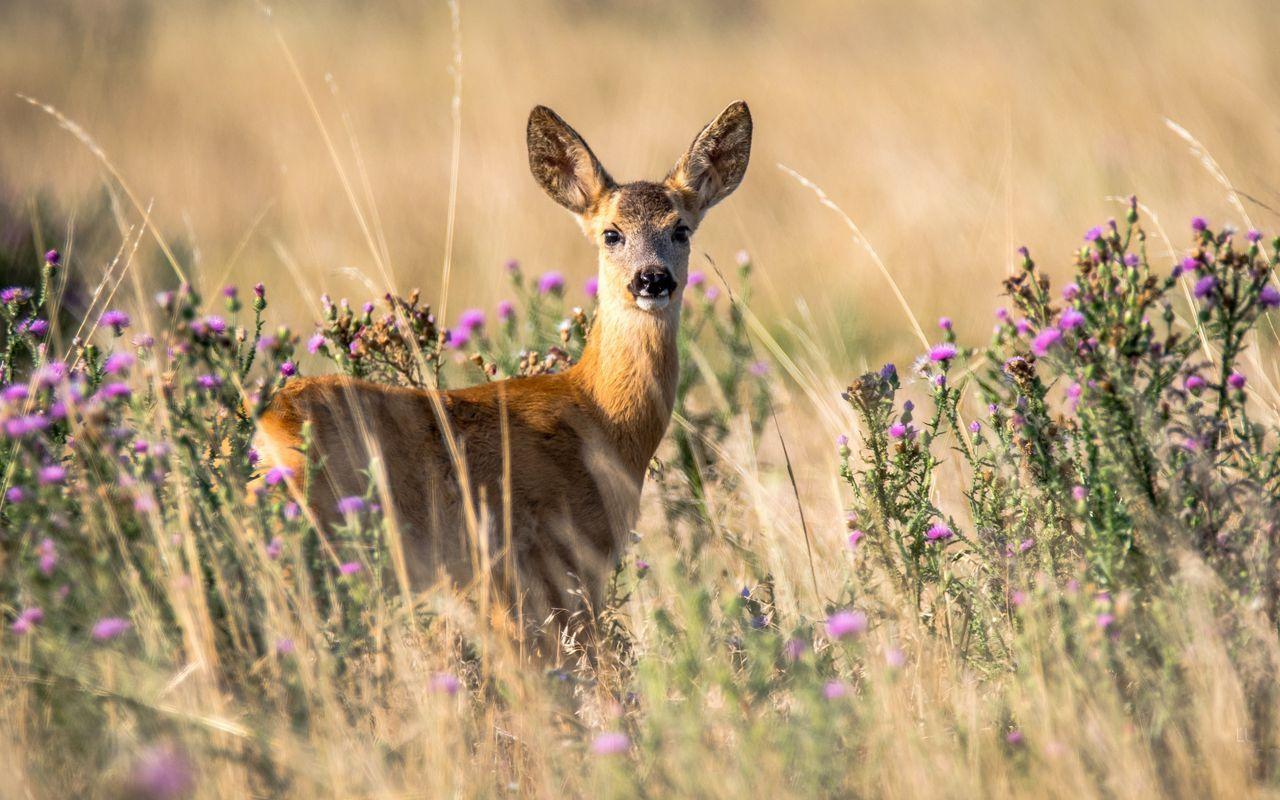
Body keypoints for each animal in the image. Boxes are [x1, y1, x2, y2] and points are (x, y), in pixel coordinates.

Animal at [254, 100, 752, 643]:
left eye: (681, 229)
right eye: (611, 234)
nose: (652, 279)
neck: (600, 417)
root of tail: (267, 426)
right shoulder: (550, 564)